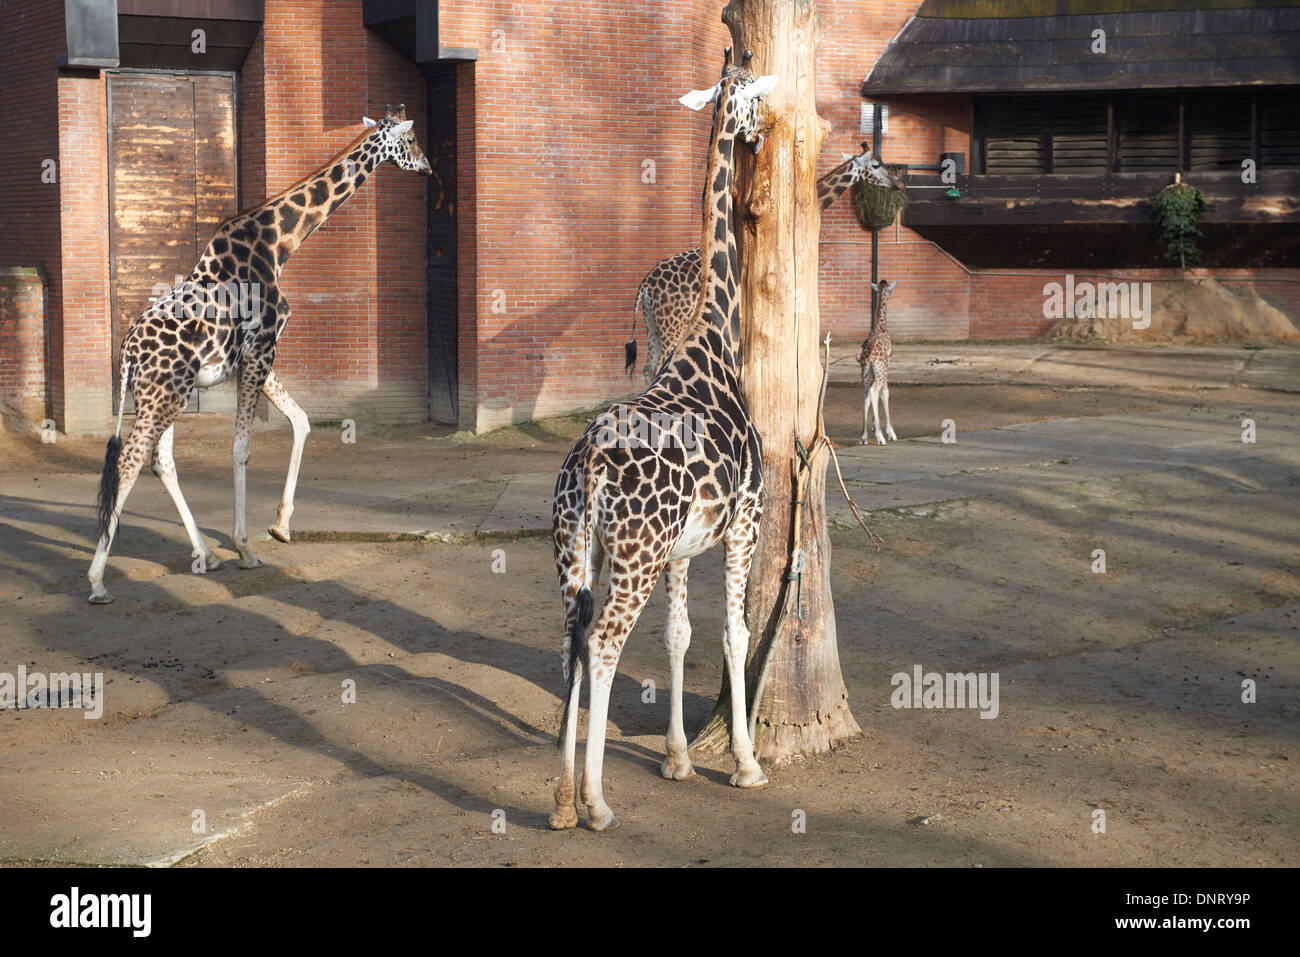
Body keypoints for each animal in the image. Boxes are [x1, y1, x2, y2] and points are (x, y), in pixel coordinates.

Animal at [87, 108, 431, 600]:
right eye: (413, 138)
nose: (428, 167)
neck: (280, 244)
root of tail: (128, 351)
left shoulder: (252, 358)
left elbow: (300, 420)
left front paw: (281, 526)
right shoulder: (263, 347)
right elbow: (242, 447)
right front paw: (245, 547)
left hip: (164, 393)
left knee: (160, 459)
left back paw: (203, 555)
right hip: (165, 393)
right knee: (132, 458)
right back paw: (97, 579)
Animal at [546, 54, 774, 832]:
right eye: (751, 97)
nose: (766, 128)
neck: (717, 331)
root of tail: (587, 464)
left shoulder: (681, 545)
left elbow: (679, 636)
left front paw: (677, 757)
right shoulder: (745, 521)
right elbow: (734, 632)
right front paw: (745, 764)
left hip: (580, 550)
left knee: (574, 636)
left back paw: (562, 801)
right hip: (634, 556)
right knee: (606, 643)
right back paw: (596, 802)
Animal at [624, 143, 899, 382]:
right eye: (876, 164)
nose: (897, 182)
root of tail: (645, 286)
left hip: (653, 324)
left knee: (648, 369)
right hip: (672, 322)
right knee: (659, 366)